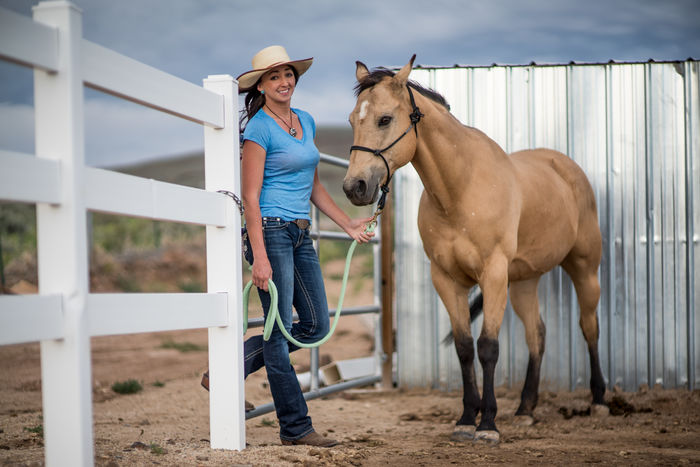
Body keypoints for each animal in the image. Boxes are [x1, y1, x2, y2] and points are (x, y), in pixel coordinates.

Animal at [344, 56, 608, 444]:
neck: (461, 189)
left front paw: (488, 425)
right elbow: (465, 347)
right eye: (352, 120)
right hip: (524, 281)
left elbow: (488, 347)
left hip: (584, 268)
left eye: (385, 119)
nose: (355, 187)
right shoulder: (446, 279)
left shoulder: (493, 274)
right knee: (537, 334)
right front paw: (468, 418)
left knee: (589, 326)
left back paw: (600, 401)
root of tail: (566, 167)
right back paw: (526, 409)